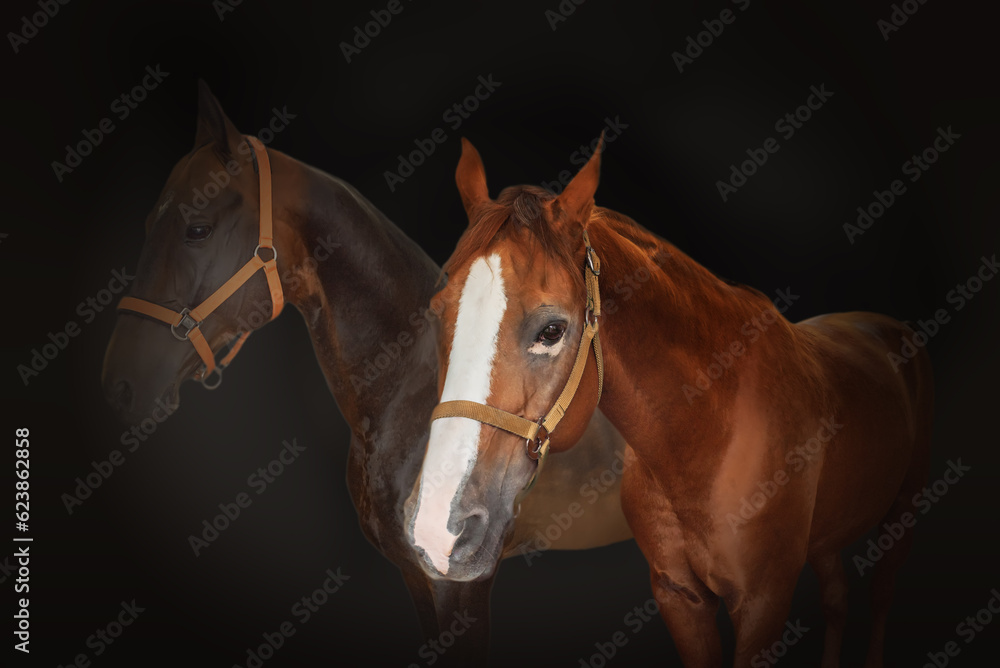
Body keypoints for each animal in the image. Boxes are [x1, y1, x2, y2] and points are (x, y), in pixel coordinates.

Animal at [404, 136, 933, 667]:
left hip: (902, 515)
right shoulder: (679, 595)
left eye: (551, 330)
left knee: (880, 594)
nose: (437, 529)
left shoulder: (764, 601)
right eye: (436, 313)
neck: (708, 433)